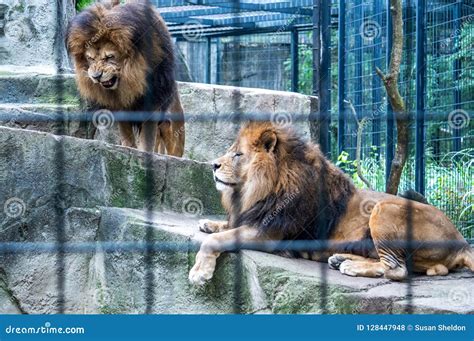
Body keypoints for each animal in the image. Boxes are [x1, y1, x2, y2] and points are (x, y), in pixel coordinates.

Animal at [65, 0, 184, 155]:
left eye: (109, 57)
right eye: (90, 58)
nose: (96, 76)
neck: (130, 80)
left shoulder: (152, 102)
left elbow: (147, 139)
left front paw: (143, 153)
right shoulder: (120, 104)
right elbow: (126, 134)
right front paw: (128, 148)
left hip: (173, 131)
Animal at [187, 121, 472, 282]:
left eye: (238, 154)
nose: (213, 165)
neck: (260, 189)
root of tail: (461, 242)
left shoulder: (267, 233)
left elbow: (216, 241)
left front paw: (199, 272)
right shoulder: (253, 217)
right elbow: (225, 226)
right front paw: (209, 223)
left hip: (384, 208)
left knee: (398, 270)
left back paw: (350, 266)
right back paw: (340, 259)